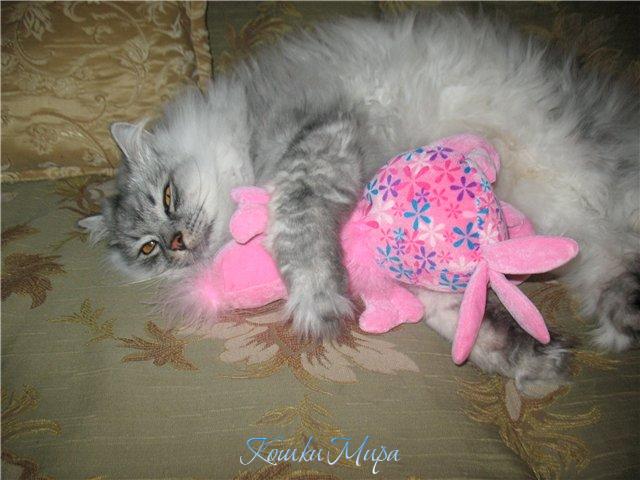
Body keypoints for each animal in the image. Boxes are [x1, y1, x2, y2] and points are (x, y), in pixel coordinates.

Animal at [79, 11, 639, 394]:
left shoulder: (321, 135)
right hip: (577, 228)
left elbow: (295, 220)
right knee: (613, 270)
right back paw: (620, 323)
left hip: (597, 179)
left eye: (168, 196)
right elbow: (450, 311)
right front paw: (526, 357)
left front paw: (315, 300)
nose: (175, 243)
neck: (240, 123)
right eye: (147, 250)